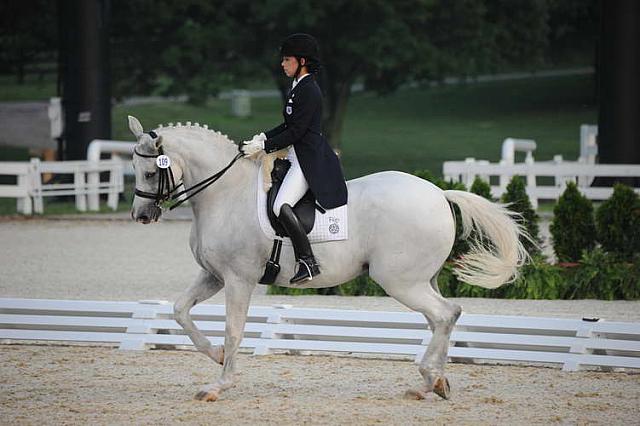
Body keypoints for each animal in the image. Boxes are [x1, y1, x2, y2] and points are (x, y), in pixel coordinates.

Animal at [127, 115, 528, 402]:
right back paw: (436, 382)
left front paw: (219, 384)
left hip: (400, 281)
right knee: (443, 318)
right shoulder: (213, 275)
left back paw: (429, 379)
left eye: (149, 171)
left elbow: (234, 329)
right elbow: (180, 310)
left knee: (445, 315)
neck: (225, 194)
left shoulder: (239, 279)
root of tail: (439, 194)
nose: (140, 216)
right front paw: (218, 355)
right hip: (420, 279)